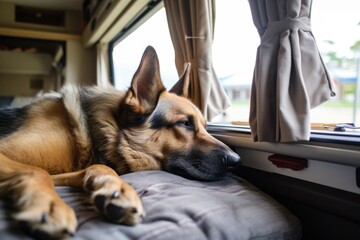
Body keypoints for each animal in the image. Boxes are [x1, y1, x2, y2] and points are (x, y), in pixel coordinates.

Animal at [0, 46, 242, 239]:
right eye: (184, 123)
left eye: (204, 125)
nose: (236, 160)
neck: (100, 129)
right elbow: (37, 171)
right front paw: (49, 206)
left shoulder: (65, 173)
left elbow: (98, 167)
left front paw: (116, 189)